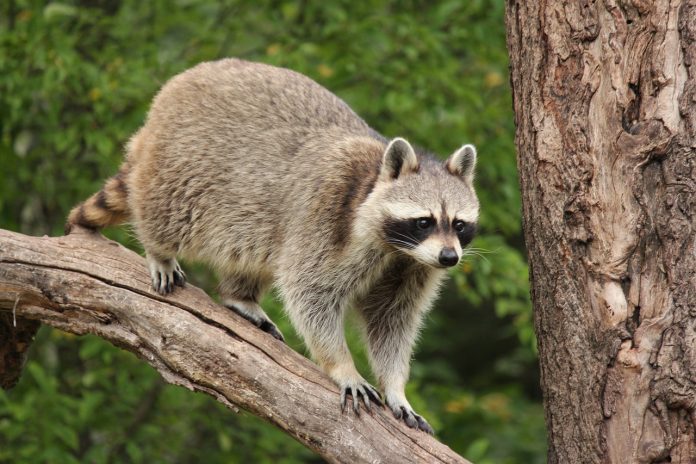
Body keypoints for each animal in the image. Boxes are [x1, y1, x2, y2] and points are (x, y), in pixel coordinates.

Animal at [66, 58, 479, 434]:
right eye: (424, 221)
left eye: (459, 225)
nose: (449, 258)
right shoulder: (324, 218)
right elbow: (311, 293)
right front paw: (342, 366)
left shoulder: (412, 266)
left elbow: (392, 320)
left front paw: (396, 387)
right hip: (187, 163)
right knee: (169, 211)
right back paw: (160, 249)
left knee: (253, 251)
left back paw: (240, 295)